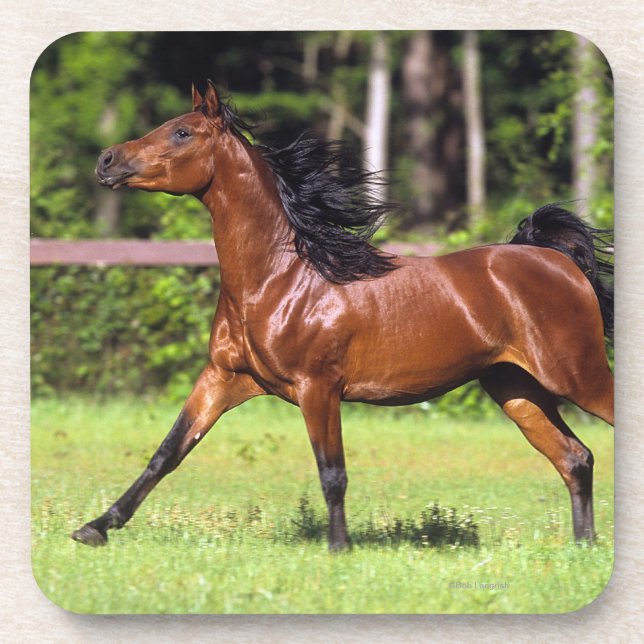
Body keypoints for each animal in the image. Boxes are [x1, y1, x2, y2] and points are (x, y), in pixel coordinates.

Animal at [72, 80, 614, 551]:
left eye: (182, 132)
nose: (106, 159)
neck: (281, 279)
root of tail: (557, 260)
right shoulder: (224, 377)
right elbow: (167, 453)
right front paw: (95, 528)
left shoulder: (318, 387)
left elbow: (331, 472)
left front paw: (338, 548)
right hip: (515, 388)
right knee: (575, 458)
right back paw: (583, 546)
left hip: (577, 376)